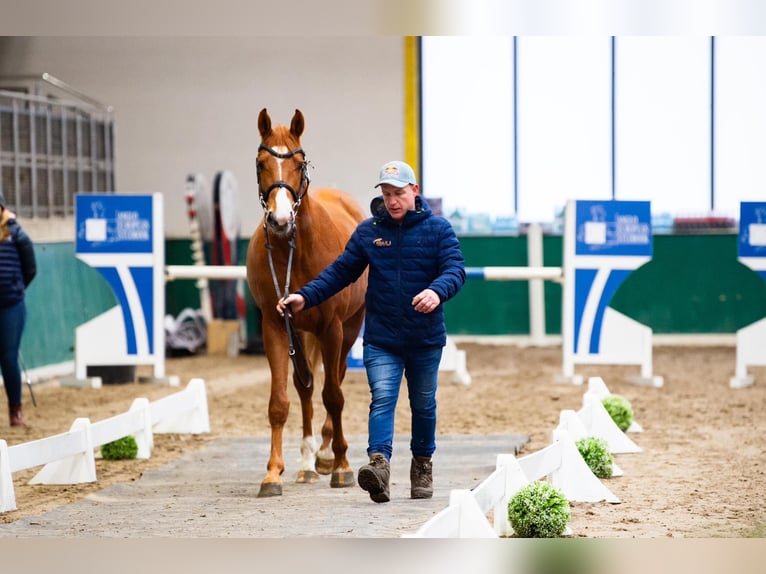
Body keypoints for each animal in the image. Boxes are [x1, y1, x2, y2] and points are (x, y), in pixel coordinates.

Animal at [245, 108, 367, 497]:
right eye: (261, 163)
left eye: (299, 164)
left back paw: (328, 455)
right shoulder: (274, 325)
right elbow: (280, 402)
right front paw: (273, 473)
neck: (293, 252)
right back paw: (307, 464)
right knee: (306, 388)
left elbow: (334, 396)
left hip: (349, 328)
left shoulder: (331, 328)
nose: (280, 220)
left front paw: (342, 466)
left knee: (336, 380)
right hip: (299, 332)